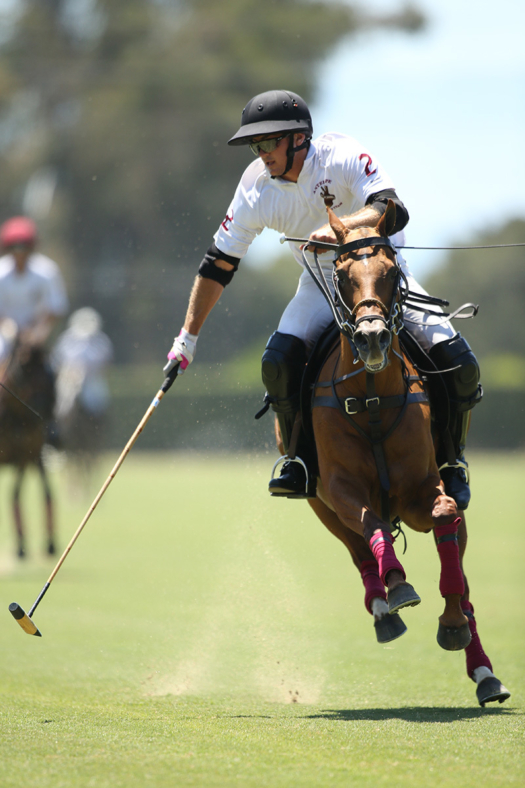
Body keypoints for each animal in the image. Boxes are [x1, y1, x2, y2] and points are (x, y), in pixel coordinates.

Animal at [0, 346, 55, 560]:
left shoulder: (24, 456)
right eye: (23, 367)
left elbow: (14, 493)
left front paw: (21, 545)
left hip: (36, 455)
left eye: (49, 370)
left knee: (46, 490)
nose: (47, 406)